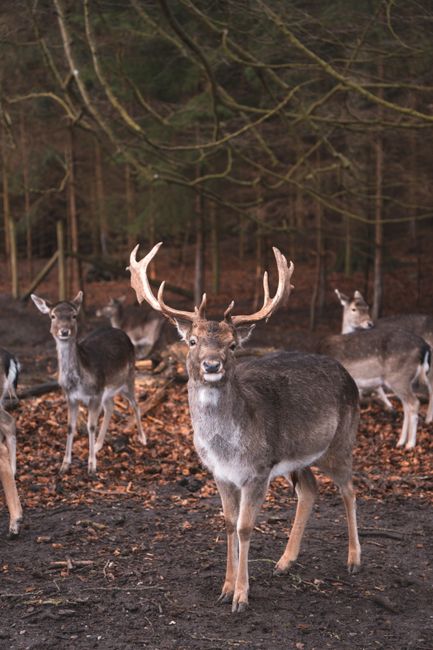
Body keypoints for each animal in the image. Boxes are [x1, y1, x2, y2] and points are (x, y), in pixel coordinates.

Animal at [31, 291, 146, 475]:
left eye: (74, 315)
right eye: (53, 316)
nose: (64, 331)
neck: (78, 381)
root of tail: (121, 332)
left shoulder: (95, 394)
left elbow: (90, 425)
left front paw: (92, 466)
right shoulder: (70, 396)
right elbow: (70, 426)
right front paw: (64, 465)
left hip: (128, 377)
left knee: (135, 404)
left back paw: (142, 438)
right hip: (108, 389)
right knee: (111, 406)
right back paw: (98, 444)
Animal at [128, 242, 361, 613]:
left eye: (232, 344)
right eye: (192, 341)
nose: (212, 365)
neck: (227, 447)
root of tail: (349, 377)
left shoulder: (258, 470)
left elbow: (245, 527)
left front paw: (241, 596)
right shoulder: (220, 473)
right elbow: (227, 524)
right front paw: (224, 588)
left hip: (341, 441)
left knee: (349, 489)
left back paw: (354, 559)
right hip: (298, 458)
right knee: (310, 489)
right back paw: (285, 562)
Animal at [318, 289, 431, 449]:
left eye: (367, 307)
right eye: (354, 309)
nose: (369, 323)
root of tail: (424, 347)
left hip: (400, 377)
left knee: (414, 403)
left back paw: (410, 443)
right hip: (402, 380)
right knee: (407, 405)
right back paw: (401, 441)